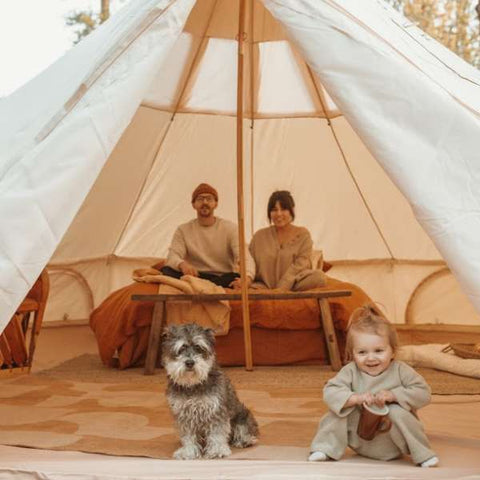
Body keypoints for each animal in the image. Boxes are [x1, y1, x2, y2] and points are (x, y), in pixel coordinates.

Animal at [161, 324, 258, 460]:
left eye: (199, 347)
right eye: (181, 348)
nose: (189, 363)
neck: (193, 385)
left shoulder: (216, 411)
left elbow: (217, 433)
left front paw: (217, 451)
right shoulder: (183, 414)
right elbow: (188, 437)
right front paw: (188, 452)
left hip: (243, 416)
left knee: (244, 431)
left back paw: (245, 440)